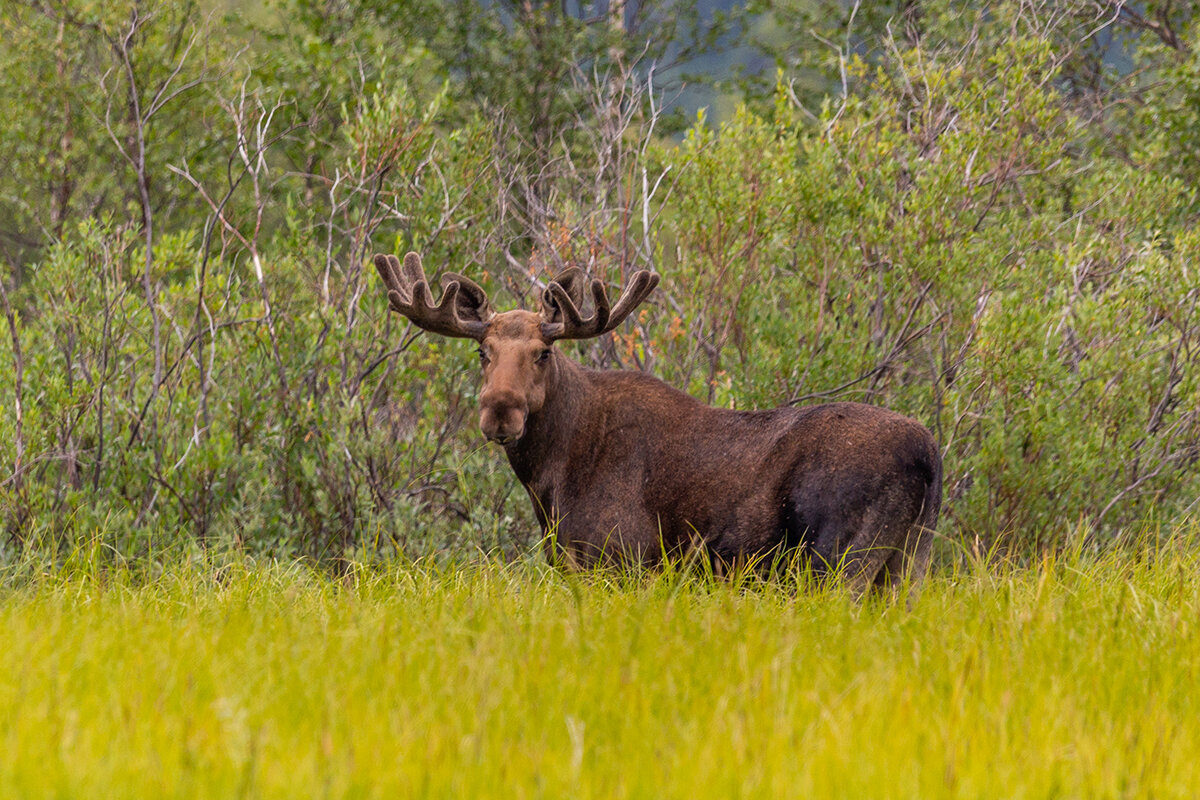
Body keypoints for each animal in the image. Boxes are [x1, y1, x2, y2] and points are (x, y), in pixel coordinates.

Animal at [369, 251, 940, 594]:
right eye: (482, 352)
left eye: (542, 353)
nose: (499, 412)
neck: (549, 476)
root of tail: (931, 457)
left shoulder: (617, 560)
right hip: (906, 565)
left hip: (841, 560)